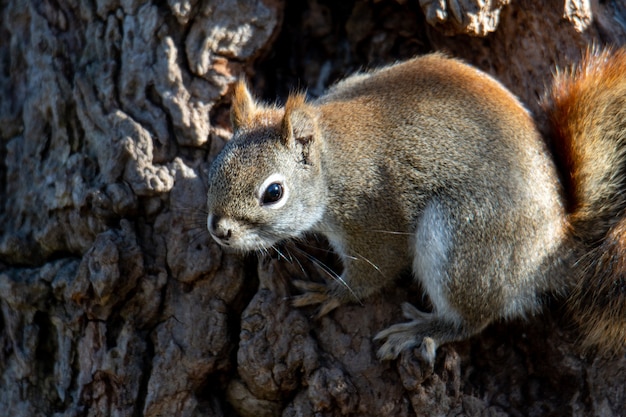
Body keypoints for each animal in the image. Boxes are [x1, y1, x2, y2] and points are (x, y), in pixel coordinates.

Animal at [205, 48, 624, 360]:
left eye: (273, 193)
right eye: (214, 168)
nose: (220, 231)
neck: (333, 163)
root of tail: (553, 250)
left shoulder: (373, 218)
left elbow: (375, 271)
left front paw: (332, 293)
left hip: (464, 245)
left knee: (472, 319)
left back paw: (420, 330)